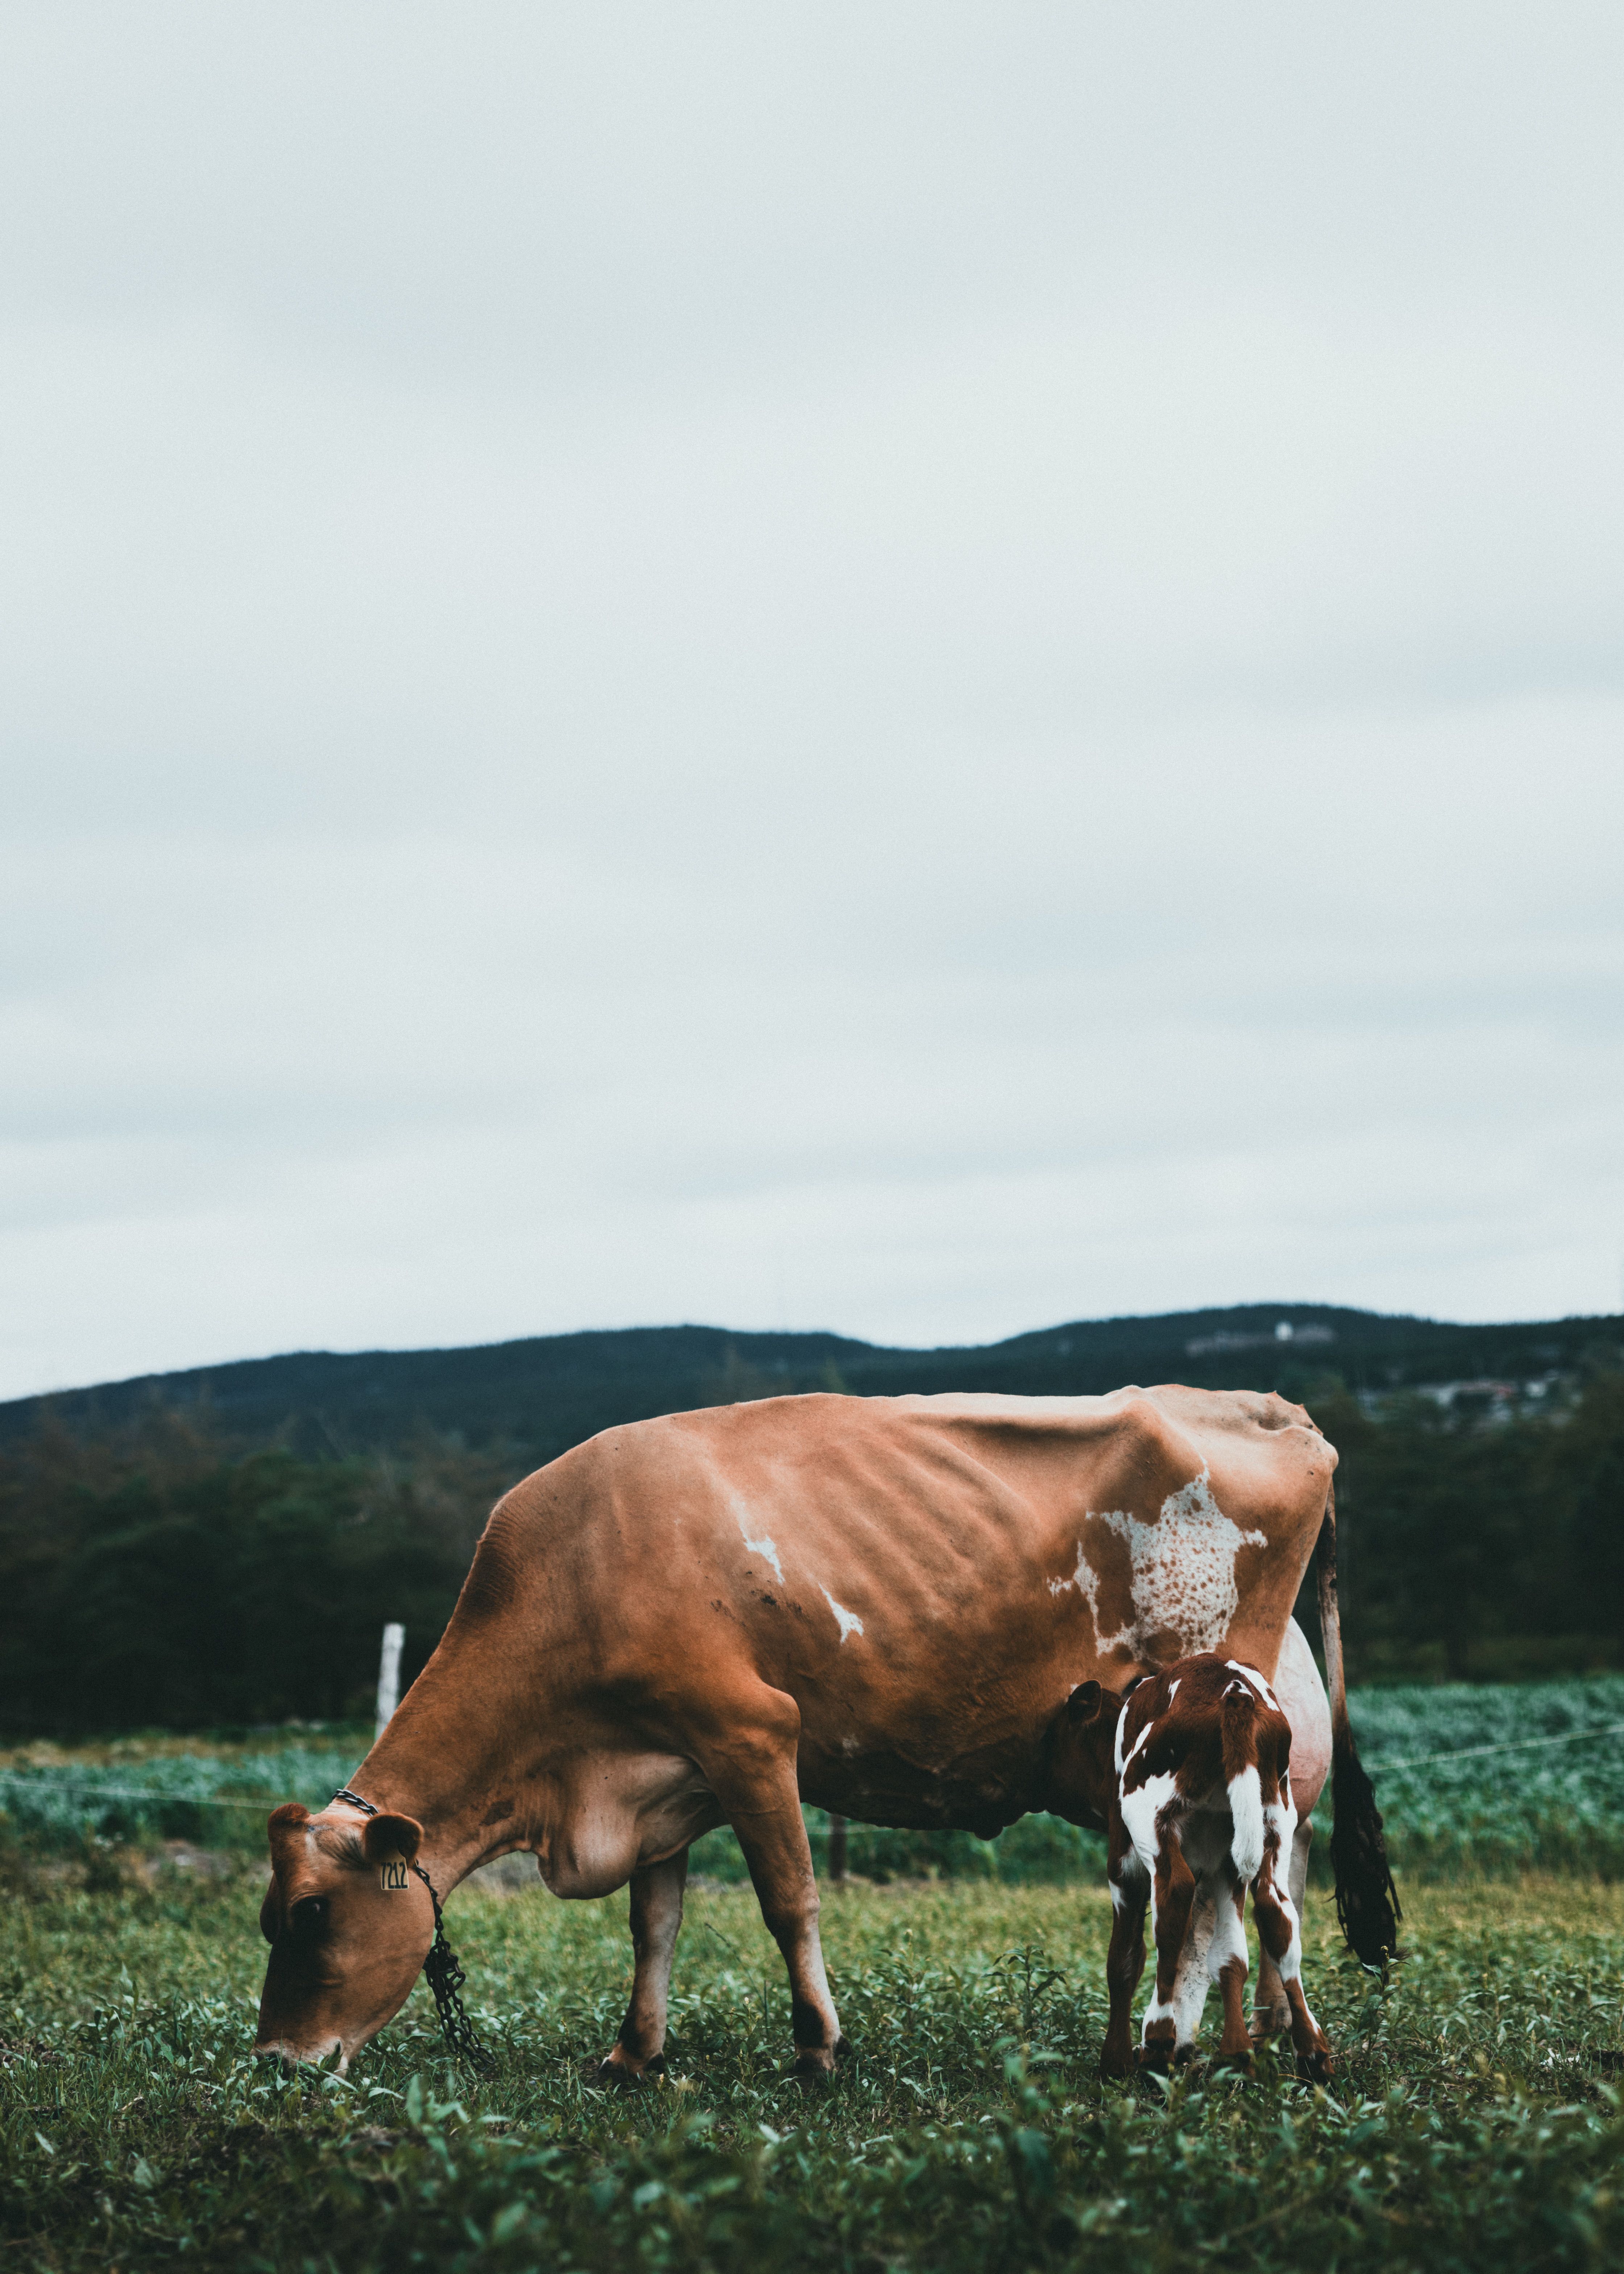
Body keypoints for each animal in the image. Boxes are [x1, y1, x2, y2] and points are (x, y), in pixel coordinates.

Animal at [1062, 1653, 1334, 2079]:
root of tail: (1234, 1691)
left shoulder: (1123, 1860)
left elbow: (1124, 1956)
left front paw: (1116, 2059)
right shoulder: (1226, 1867)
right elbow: (1230, 1955)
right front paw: (1237, 2051)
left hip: (1149, 1817)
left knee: (1174, 1897)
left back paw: (1158, 2041)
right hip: (1274, 1820)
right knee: (1277, 1914)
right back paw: (1312, 2052)